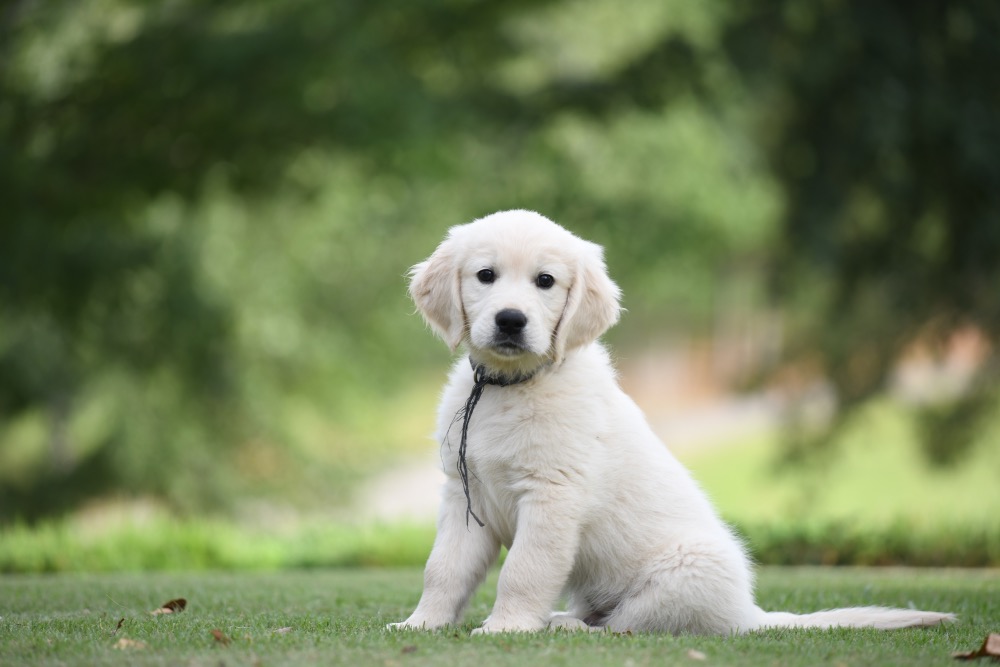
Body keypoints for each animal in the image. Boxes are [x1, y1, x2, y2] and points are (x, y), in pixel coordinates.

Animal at [388, 210, 952, 636]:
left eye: (545, 281)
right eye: (485, 275)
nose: (510, 320)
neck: (509, 387)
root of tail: (750, 615)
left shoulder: (552, 495)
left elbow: (523, 570)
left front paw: (506, 627)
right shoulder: (465, 494)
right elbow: (443, 569)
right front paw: (421, 623)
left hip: (684, 570)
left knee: (628, 625)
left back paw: (567, 627)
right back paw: (563, 618)